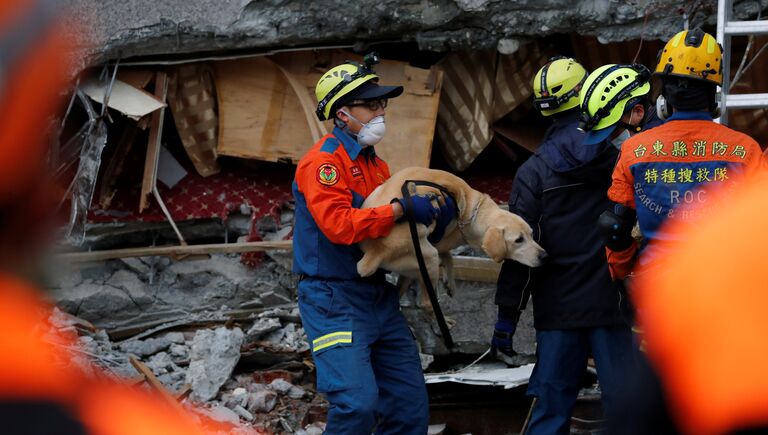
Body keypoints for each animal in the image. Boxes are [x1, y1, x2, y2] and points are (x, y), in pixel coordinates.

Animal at [358, 168, 544, 290]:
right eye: (518, 240)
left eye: (532, 234)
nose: (544, 256)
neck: (473, 211)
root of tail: (377, 251)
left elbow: (449, 257)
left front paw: (450, 280)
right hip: (429, 259)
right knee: (427, 304)